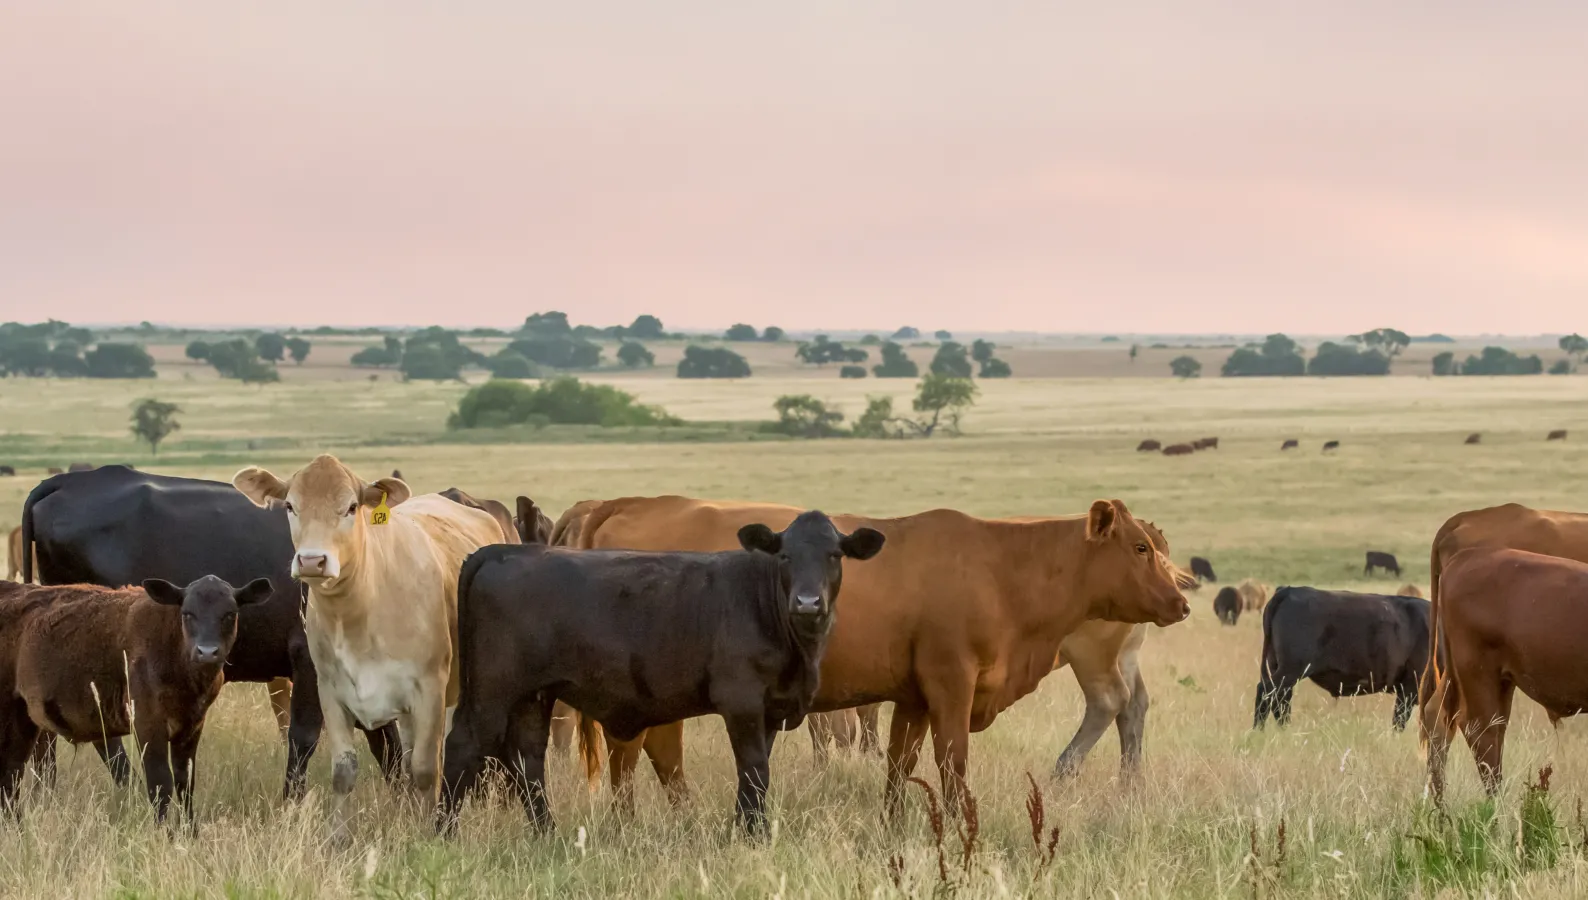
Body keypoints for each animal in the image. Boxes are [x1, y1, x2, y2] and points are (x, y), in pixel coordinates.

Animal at [0, 577, 273, 825]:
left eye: (229, 614)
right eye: (187, 614)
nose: (206, 652)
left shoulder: (192, 726)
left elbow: (185, 783)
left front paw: (190, 832)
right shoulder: (148, 723)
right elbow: (160, 783)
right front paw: (164, 832)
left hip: (24, 720)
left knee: (12, 774)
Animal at [230, 453, 498, 844]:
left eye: (351, 507)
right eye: (291, 506)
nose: (312, 561)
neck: (360, 610)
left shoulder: (429, 689)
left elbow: (425, 768)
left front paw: (426, 829)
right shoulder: (330, 690)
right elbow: (345, 770)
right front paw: (339, 837)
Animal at [444, 511, 895, 831]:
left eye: (834, 556)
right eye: (785, 556)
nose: (807, 602)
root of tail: (501, 552)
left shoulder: (769, 709)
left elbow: (756, 772)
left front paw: (743, 829)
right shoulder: (742, 702)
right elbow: (754, 769)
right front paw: (754, 834)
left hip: (533, 694)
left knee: (527, 760)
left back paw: (547, 833)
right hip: (492, 690)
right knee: (463, 746)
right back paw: (443, 833)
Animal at [558, 492, 1194, 819]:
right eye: (1141, 548)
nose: (1182, 600)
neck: (1000, 566)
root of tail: (621, 503)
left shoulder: (912, 699)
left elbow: (898, 766)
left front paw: (893, 824)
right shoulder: (951, 686)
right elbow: (952, 766)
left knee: (659, 754)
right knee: (632, 754)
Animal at [1251, 590, 1429, 733]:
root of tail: (1288, 591)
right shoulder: (1410, 687)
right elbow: (1400, 722)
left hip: (1276, 665)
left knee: (1279, 698)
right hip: (1291, 668)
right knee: (1268, 692)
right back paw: (1262, 731)